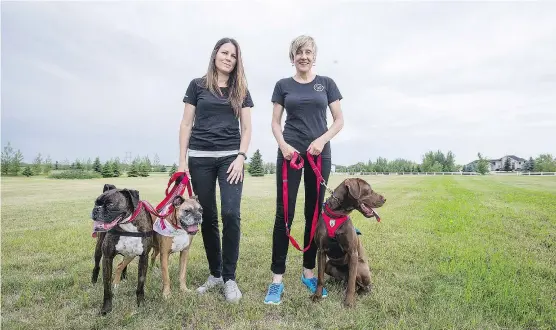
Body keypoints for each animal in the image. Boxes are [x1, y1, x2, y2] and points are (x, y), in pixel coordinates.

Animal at [90, 184, 153, 316]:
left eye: (110, 204)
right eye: (96, 203)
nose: (96, 209)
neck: (127, 224)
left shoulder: (144, 257)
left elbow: (141, 284)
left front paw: (141, 303)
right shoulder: (107, 258)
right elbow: (107, 288)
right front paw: (106, 308)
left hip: (130, 254)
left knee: (123, 263)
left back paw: (124, 276)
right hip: (98, 250)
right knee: (97, 265)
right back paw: (94, 280)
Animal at [312, 178, 386, 306]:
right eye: (369, 190)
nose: (384, 199)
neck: (337, 213)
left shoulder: (352, 252)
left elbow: (352, 281)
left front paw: (349, 301)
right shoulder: (321, 251)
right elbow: (320, 277)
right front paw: (317, 295)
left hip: (360, 267)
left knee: (362, 285)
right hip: (329, 265)